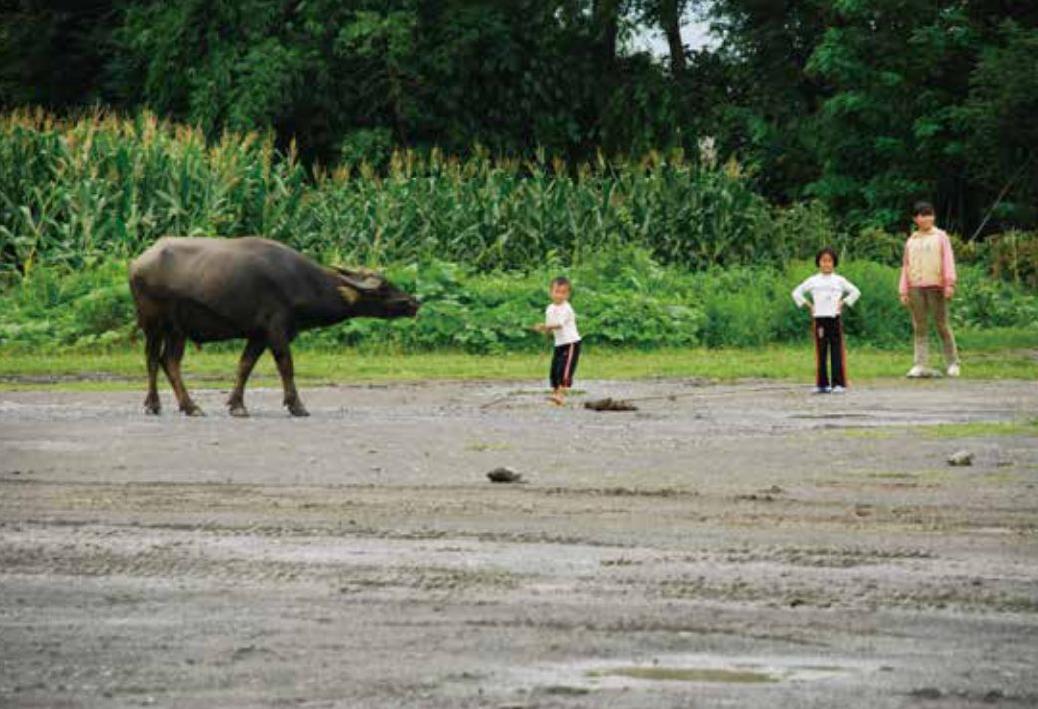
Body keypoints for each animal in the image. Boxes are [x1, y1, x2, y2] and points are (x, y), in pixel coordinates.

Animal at [127, 235, 419, 419]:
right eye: (383, 288)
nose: (414, 302)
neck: (301, 282)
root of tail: (138, 263)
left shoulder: (258, 335)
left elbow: (244, 366)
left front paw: (237, 405)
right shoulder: (277, 331)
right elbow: (286, 366)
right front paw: (297, 406)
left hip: (176, 330)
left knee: (167, 361)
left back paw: (180, 406)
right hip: (156, 324)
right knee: (155, 360)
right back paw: (167, 405)